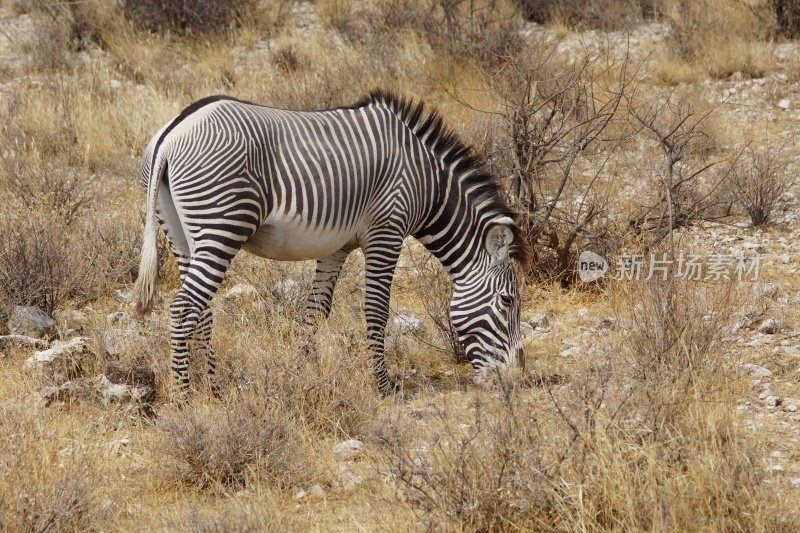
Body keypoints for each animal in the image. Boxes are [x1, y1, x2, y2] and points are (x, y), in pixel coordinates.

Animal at [133, 90, 532, 394]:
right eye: (508, 301)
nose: (515, 377)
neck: (428, 185)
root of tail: (173, 131)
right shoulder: (387, 231)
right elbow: (377, 310)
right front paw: (383, 386)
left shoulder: (337, 247)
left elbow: (314, 312)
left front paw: (298, 376)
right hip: (222, 225)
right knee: (184, 308)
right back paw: (185, 398)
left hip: (180, 232)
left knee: (202, 309)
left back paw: (213, 389)